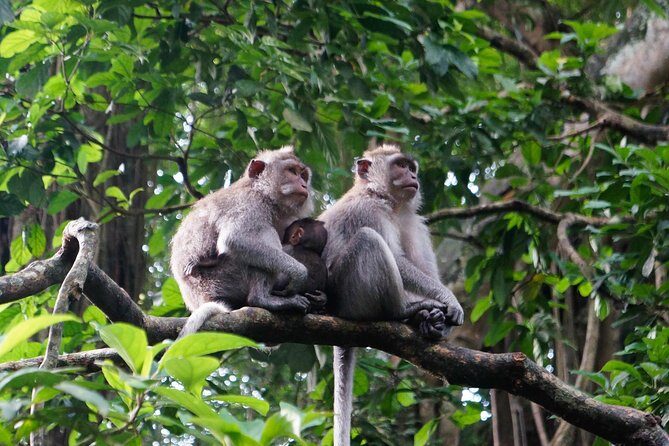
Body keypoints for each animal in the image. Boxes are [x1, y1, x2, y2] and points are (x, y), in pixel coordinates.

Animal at [171, 146, 322, 337]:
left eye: (303, 175)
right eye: (291, 171)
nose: (303, 185)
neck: (262, 193)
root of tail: (198, 300)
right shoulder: (248, 202)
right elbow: (236, 240)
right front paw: (299, 272)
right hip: (220, 281)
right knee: (266, 235)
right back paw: (262, 299)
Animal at [318, 144, 464, 446]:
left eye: (411, 167)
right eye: (400, 165)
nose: (413, 176)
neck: (387, 200)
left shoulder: (412, 220)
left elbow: (421, 264)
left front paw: (438, 317)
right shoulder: (368, 209)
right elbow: (397, 259)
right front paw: (447, 300)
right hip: (348, 294)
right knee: (368, 239)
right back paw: (404, 312)